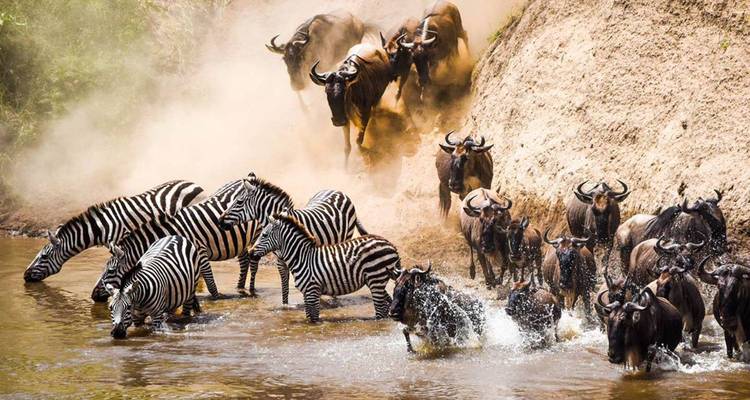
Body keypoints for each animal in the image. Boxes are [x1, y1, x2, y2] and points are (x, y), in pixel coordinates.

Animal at [92, 179, 262, 302]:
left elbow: (209, 280)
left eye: (110, 271)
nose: (93, 295)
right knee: (244, 260)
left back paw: (251, 290)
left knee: (254, 261)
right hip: (242, 239)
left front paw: (216, 298)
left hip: (258, 233)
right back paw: (240, 288)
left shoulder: (199, 250)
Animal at [218, 172, 369, 303]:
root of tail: (338, 191)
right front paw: (285, 307)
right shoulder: (281, 261)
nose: (219, 221)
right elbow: (284, 288)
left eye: (239, 202)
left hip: (345, 238)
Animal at [252, 212, 400, 322]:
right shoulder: (307, 293)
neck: (302, 257)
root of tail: (390, 244)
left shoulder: (312, 291)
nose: (250, 252)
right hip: (375, 280)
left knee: (381, 312)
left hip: (376, 279)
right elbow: (309, 318)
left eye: (264, 235)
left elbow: (314, 320)